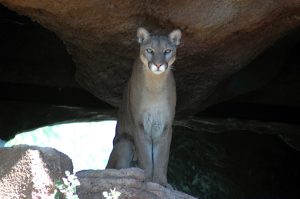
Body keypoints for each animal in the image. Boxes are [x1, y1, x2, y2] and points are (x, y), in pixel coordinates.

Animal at [106, 26, 182, 187]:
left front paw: (161, 182)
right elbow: (145, 157)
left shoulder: (165, 125)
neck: (156, 85)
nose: (158, 65)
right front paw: (146, 178)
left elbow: (162, 158)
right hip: (125, 142)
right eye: (150, 50)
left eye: (167, 51)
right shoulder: (139, 124)